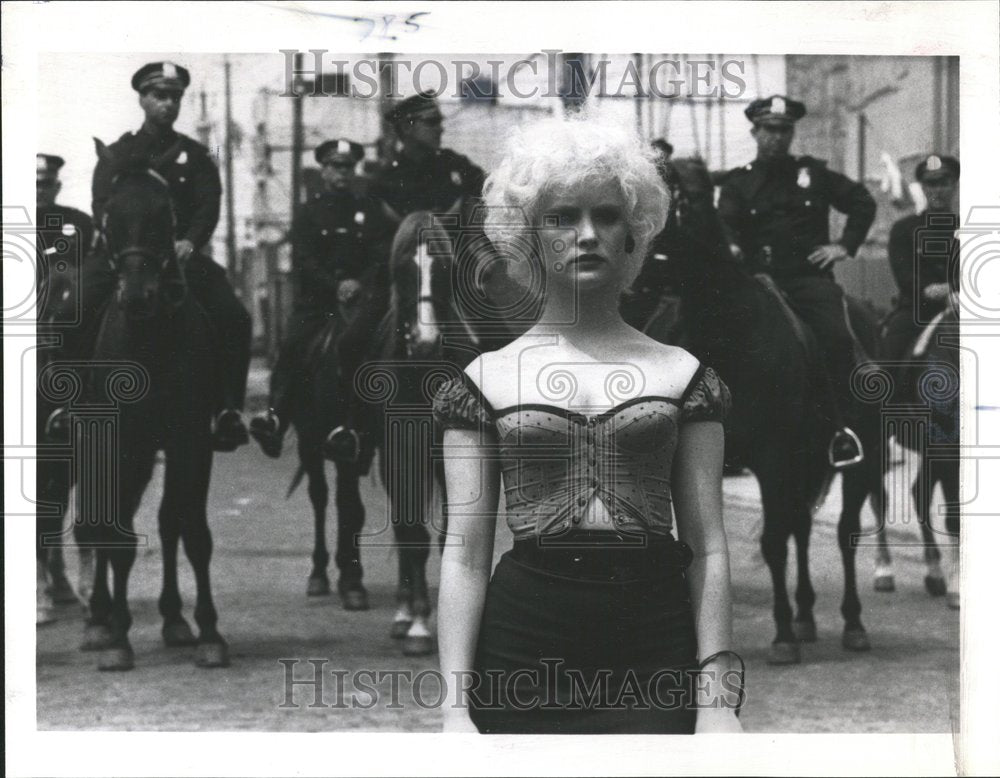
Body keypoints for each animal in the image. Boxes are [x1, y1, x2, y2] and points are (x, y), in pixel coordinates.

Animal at [71, 141, 230, 668]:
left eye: (165, 214)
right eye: (109, 213)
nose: (138, 295)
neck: (149, 340)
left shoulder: (190, 442)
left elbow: (193, 533)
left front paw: (209, 633)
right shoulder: (120, 443)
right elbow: (118, 538)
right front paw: (119, 640)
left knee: (166, 524)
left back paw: (174, 620)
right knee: (97, 523)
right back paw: (100, 621)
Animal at [360, 211, 480, 656]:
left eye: (444, 268)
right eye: (402, 268)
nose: (426, 342)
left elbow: (447, 535)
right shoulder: (399, 452)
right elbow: (411, 533)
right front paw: (417, 625)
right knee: (402, 524)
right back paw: (402, 613)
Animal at [632, 158, 884, 660]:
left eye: (688, 197)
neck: (724, 332)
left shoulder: (772, 456)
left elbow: (772, 542)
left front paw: (782, 634)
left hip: (858, 462)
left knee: (842, 531)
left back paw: (850, 622)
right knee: (802, 525)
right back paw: (806, 615)